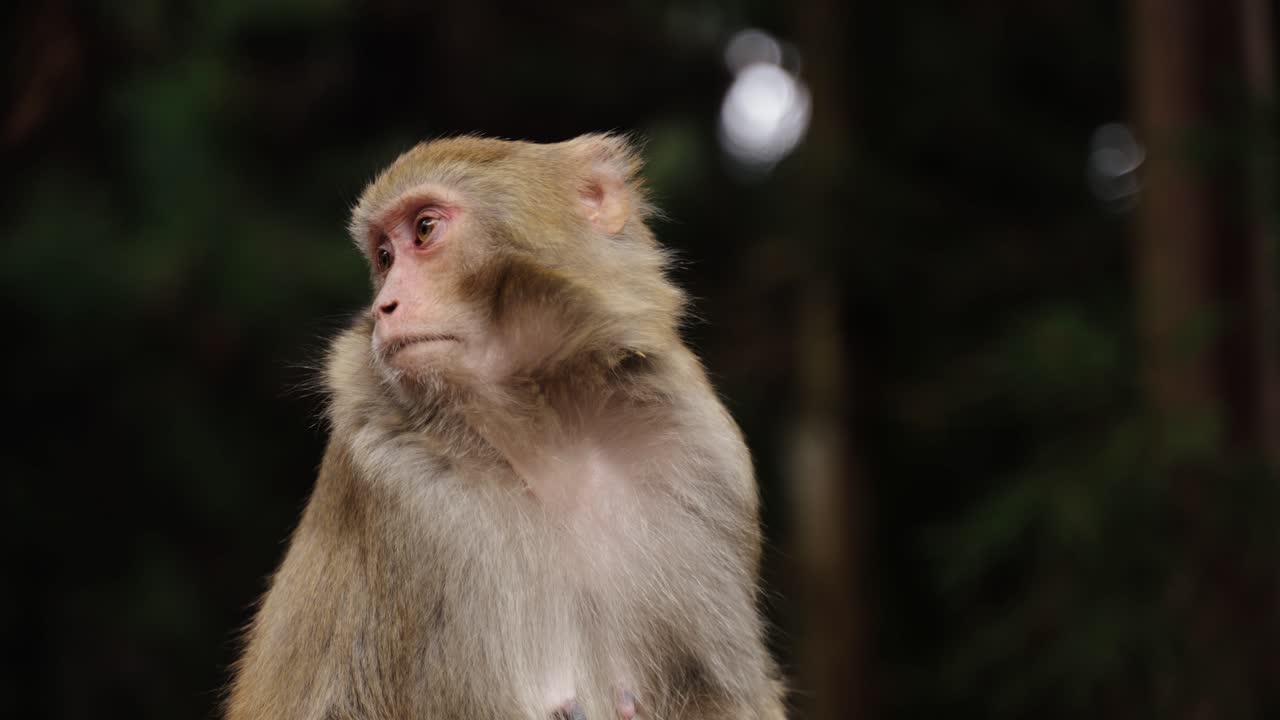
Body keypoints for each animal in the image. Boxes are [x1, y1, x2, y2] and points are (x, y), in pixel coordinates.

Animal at [226, 134, 787, 720]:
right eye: (384, 257)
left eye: (423, 230)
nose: (383, 307)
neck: (551, 426)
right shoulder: (406, 488)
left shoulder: (706, 455)